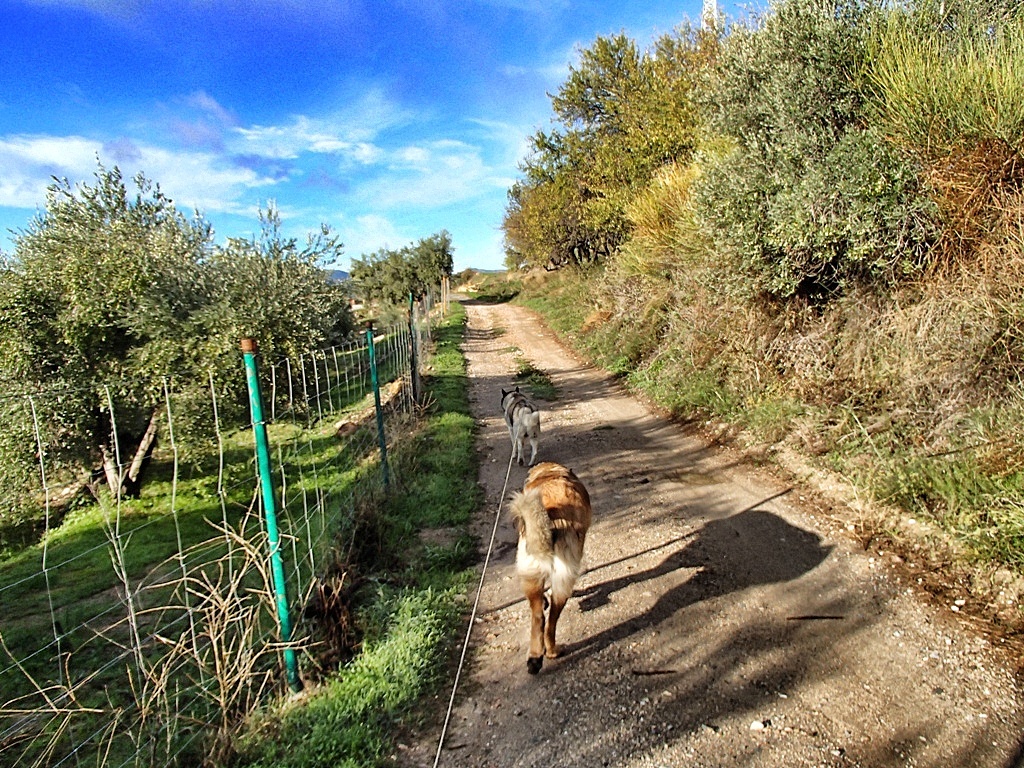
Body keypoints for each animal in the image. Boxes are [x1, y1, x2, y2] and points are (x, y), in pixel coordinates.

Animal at [505, 462, 589, 671]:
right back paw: (553, 651)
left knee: (538, 618)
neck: (551, 473)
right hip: (563, 581)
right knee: (551, 621)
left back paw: (535, 658)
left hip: (530, 576)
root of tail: (551, 517)